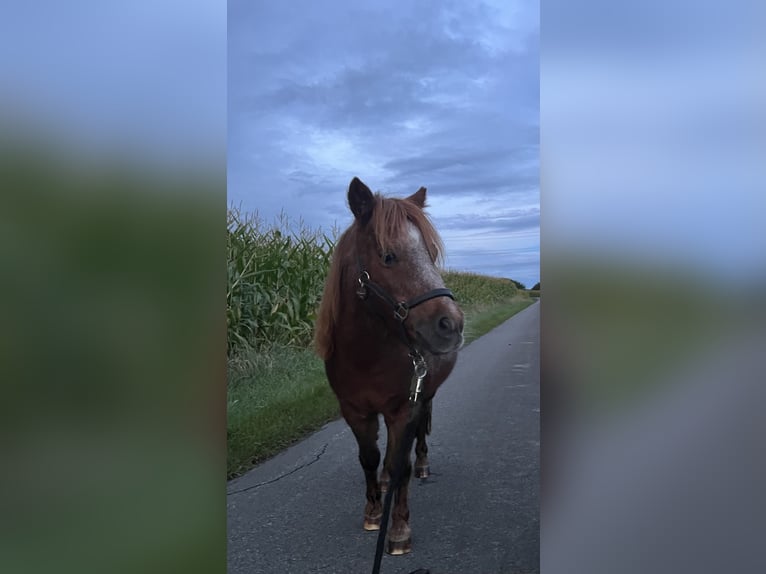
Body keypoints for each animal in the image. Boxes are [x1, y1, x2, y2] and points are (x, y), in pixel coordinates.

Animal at [316, 177, 464, 560]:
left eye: (431, 254)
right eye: (388, 256)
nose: (452, 325)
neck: (367, 355)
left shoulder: (405, 408)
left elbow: (402, 466)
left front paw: (397, 530)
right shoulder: (355, 411)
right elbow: (368, 458)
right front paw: (372, 512)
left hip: (425, 396)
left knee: (420, 436)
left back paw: (423, 464)